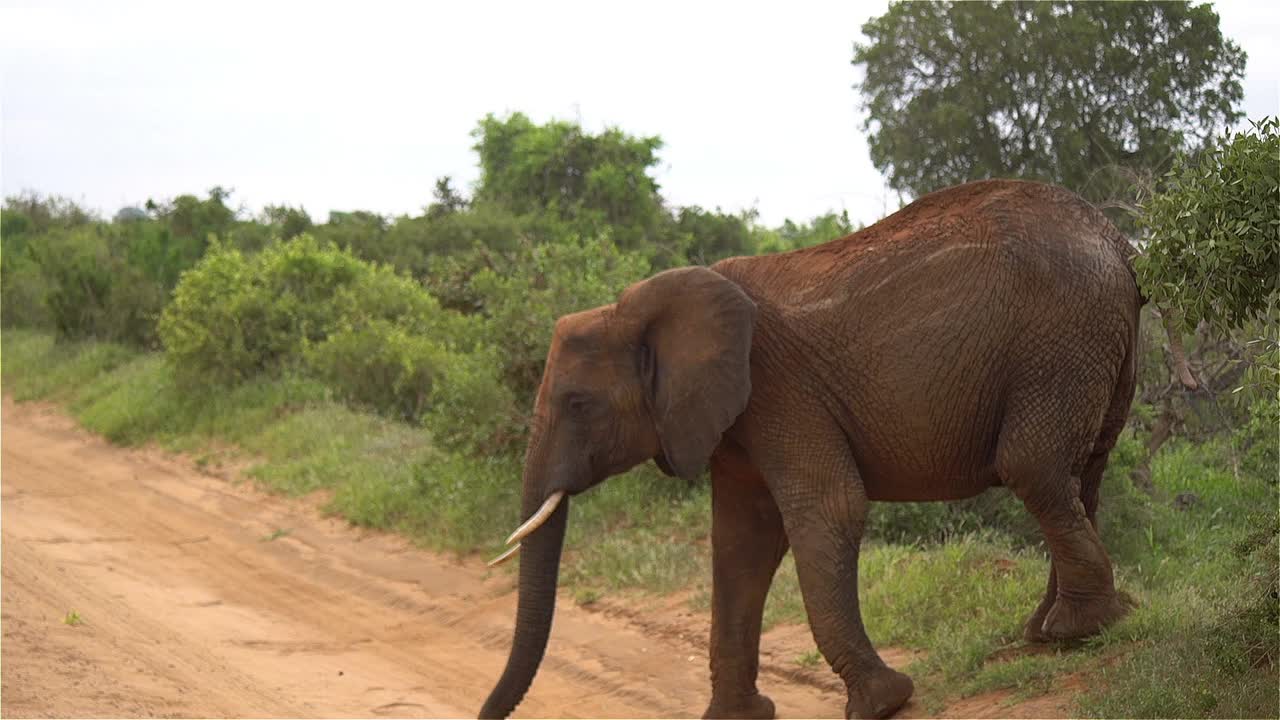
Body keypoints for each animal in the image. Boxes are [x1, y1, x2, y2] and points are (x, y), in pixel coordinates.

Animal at [476, 176, 1136, 712]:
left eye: (577, 405)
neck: (639, 308)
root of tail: (1117, 240)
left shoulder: (778, 389)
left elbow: (827, 508)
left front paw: (884, 703)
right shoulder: (734, 419)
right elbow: (741, 540)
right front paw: (738, 717)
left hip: (1059, 337)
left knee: (1033, 465)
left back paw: (1075, 628)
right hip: (1094, 341)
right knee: (1084, 472)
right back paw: (1057, 630)